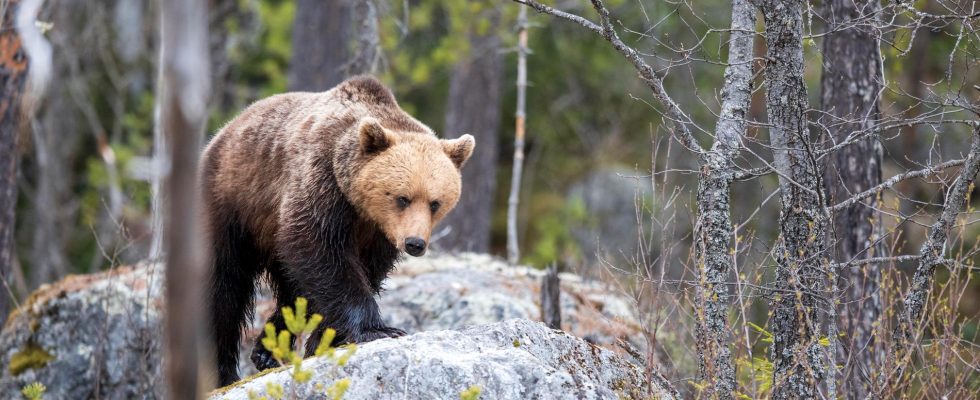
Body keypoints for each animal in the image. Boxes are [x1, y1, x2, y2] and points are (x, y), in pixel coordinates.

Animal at [199, 76, 474, 386]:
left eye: (435, 203)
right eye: (402, 198)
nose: (415, 243)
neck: (360, 206)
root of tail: (224, 130)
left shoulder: (378, 234)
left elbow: (359, 272)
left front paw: (325, 339)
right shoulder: (322, 184)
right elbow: (321, 252)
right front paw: (379, 329)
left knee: (292, 287)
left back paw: (267, 350)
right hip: (231, 201)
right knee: (223, 288)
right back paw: (223, 371)